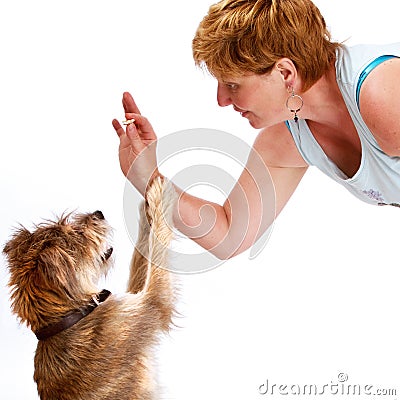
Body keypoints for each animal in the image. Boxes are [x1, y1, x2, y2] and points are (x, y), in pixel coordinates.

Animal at [3, 178, 177, 400]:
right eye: (77, 234)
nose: (98, 213)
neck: (71, 317)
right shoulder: (154, 303)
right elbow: (157, 247)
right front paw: (159, 196)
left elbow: (142, 256)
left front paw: (145, 208)